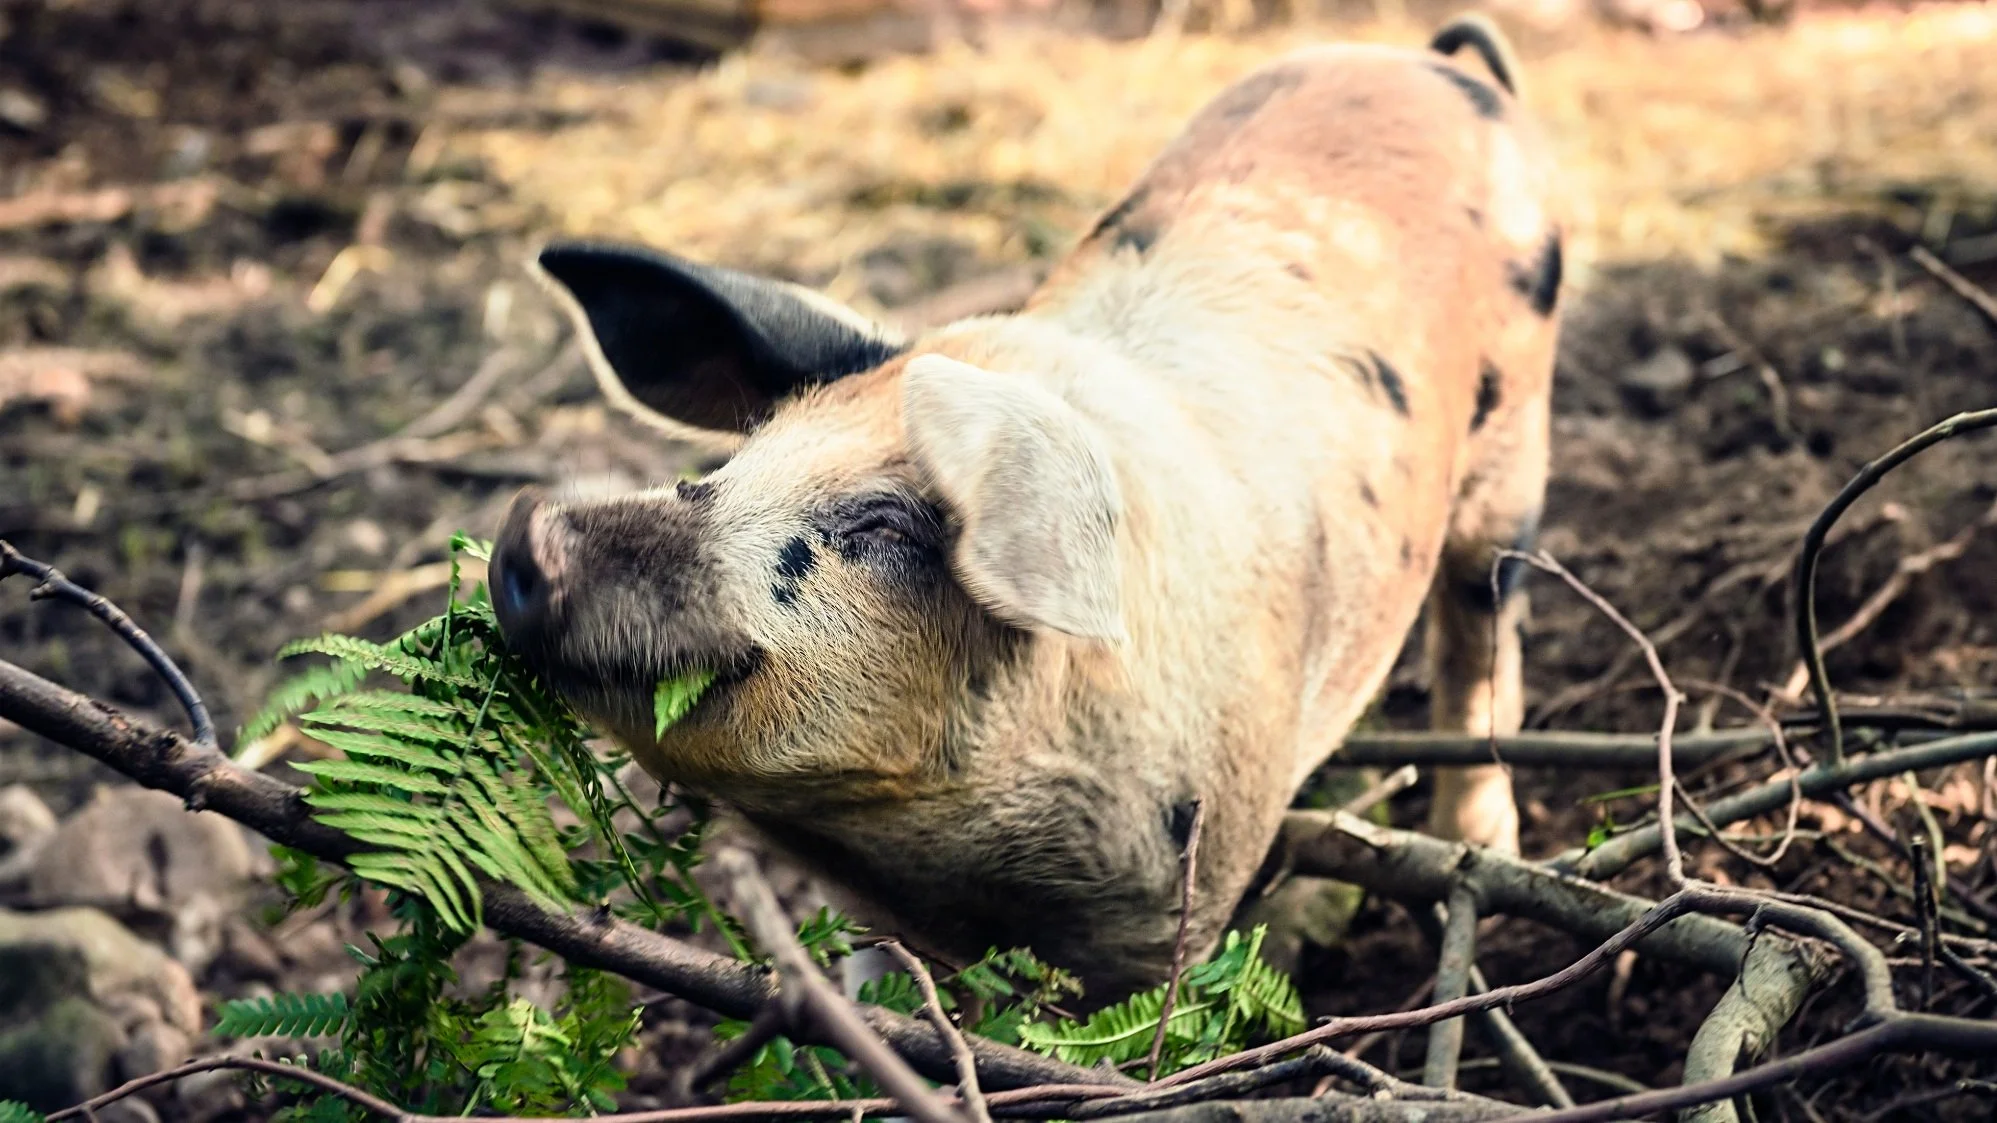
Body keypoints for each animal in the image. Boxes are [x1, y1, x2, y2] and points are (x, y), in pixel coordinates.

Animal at [488, 12, 1562, 1005]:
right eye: (726, 466)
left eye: (882, 522)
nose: (532, 532)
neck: (951, 872)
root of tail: (1425, 61)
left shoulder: (1181, 896)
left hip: (1515, 445)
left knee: (1481, 632)